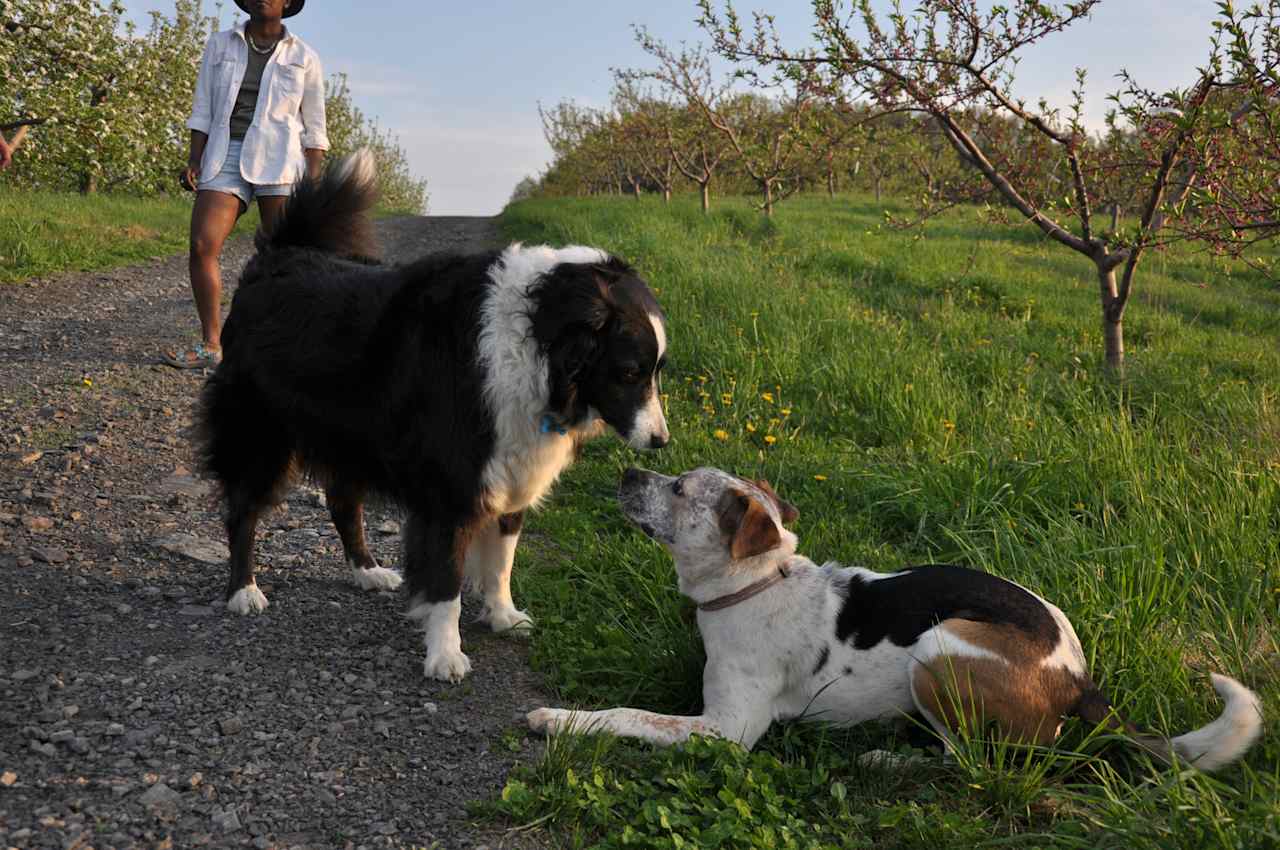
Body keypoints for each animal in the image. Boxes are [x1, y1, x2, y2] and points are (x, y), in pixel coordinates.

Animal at [199, 152, 670, 681]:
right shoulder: (451, 486)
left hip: (351, 439)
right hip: (260, 432)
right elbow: (447, 581)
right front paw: (446, 654)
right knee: (243, 509)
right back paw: (243, 590)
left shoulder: (512, 470)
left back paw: (366, 571)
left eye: (657, 370)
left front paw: (503, 615)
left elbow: (501, 560)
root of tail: (276, 259)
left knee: (343, 505)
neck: (535, 346)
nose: (661, 441)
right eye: (629, 372)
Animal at [527, 468, 1259, 773]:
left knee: (970, 759)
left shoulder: (728, 731)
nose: (627, 467)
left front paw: (559, 718)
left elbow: (627, 715)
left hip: (939, 647)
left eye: (679, 488)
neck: (754, 585)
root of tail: (1080, 679)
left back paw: (886, 757)